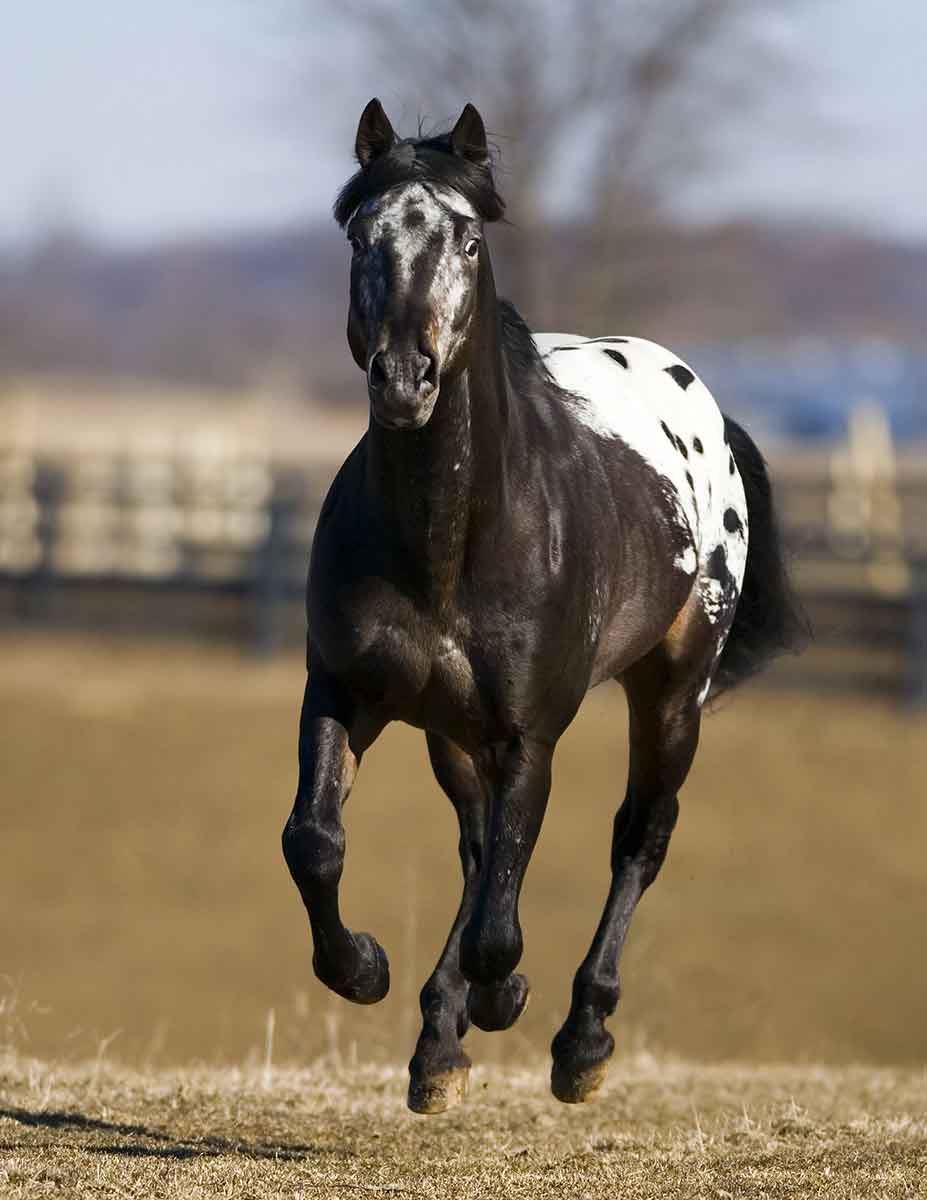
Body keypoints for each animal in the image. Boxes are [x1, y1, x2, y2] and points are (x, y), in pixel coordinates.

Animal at [282, 98, 805, 1115]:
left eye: (468, 238)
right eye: (361, 235)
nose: (403, 378)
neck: (449, 540)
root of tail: (709, 413)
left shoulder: (530, 733)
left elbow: (503, 922)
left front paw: (501, 998)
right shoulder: (342, 692)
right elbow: (315, 842)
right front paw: (366, 969)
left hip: (672, 690)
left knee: (638, 838)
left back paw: (579, 1039)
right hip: (451, 732)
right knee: (478, 849)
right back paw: (439, 1049)